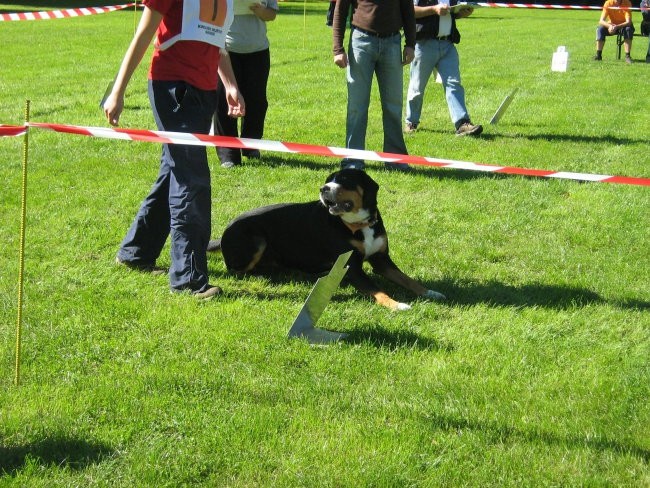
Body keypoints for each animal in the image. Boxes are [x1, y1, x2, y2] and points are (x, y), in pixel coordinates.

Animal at [209, 170, 446, 310]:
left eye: (344, 180)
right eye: (327, 181)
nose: (323, 189)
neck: (358, 225)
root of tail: (224, 232)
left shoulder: (381, 259)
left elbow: (407, 279)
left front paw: (431, 292)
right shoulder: (352, 267)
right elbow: (378, 290)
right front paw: (397, 305)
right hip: (257, 240)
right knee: (237, 270)